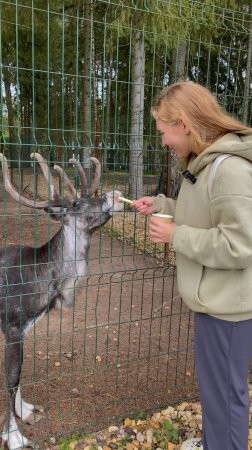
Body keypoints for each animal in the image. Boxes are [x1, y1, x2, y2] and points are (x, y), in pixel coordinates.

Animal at [0, 152, 124, 450]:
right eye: (77, 203)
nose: (115, 194)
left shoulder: (23, 329)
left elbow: (18, 375)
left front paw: (25, 410)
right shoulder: (11, 326)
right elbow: (11, 379)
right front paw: (14, 436)